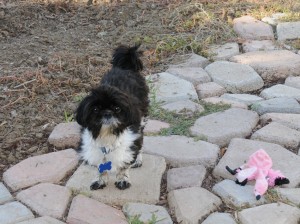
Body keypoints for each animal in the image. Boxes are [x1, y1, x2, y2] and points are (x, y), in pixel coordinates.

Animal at [76, 44, 149, 190]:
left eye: (117, 108)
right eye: (95, 109)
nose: (107, 113)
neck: (107, 136)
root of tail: (124, 67)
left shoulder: (129, 143)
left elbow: (124, 165)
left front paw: (123, 180)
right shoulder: (93, 150)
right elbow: (100, 167)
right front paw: (99, 180)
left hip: (142, 119)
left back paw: (138, 160)